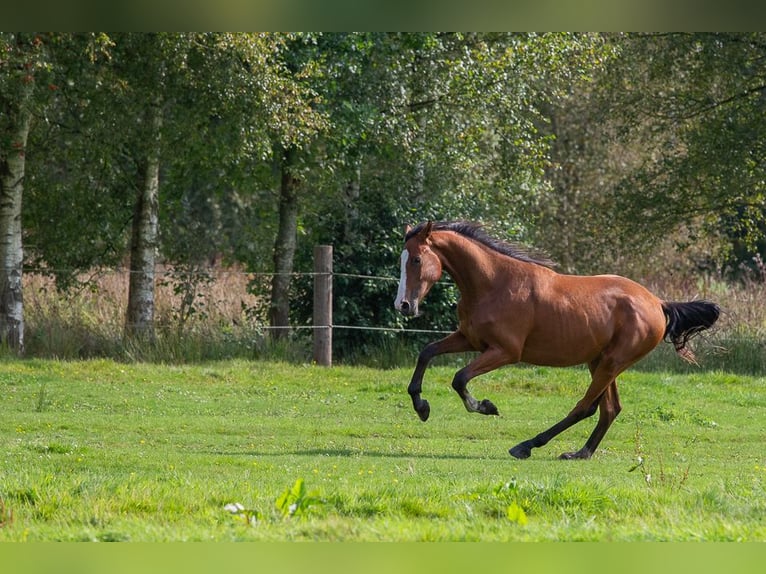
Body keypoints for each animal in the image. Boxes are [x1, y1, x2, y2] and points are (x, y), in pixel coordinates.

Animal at [392, 223, 724, 462]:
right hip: (600, 361)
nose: (403, 306)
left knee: (585, 407)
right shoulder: (469, 339)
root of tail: (658, 303)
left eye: (417, 259)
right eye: (402, 260)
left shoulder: (505, 352)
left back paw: (526, 446)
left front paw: (485, 406)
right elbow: (427, 353)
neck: (493, 283)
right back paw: (580, 453)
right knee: (609, 409)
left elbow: (459, 378)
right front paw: (421, 407)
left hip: (612, 362)